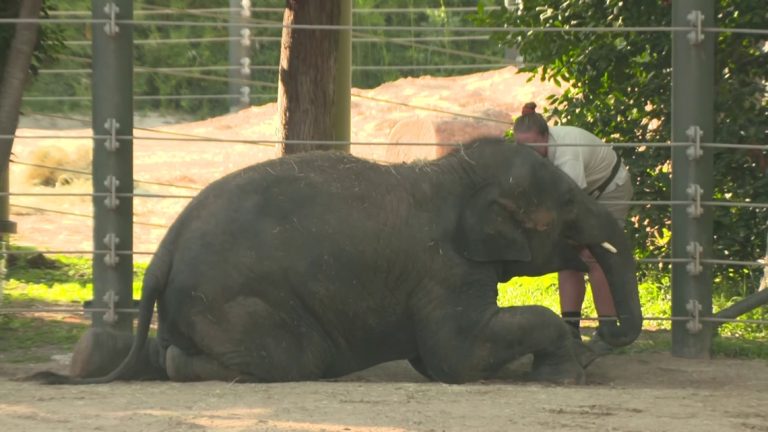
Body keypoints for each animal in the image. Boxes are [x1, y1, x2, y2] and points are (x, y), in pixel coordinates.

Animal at [28, 138, 640, 384]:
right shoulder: (445, 269)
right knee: (294, 358)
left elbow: (437, 358)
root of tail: (161, 253)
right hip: (235, 303)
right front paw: (569, 373)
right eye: (569, 202)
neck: (454, 171)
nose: (604, 338)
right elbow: (455, 356)